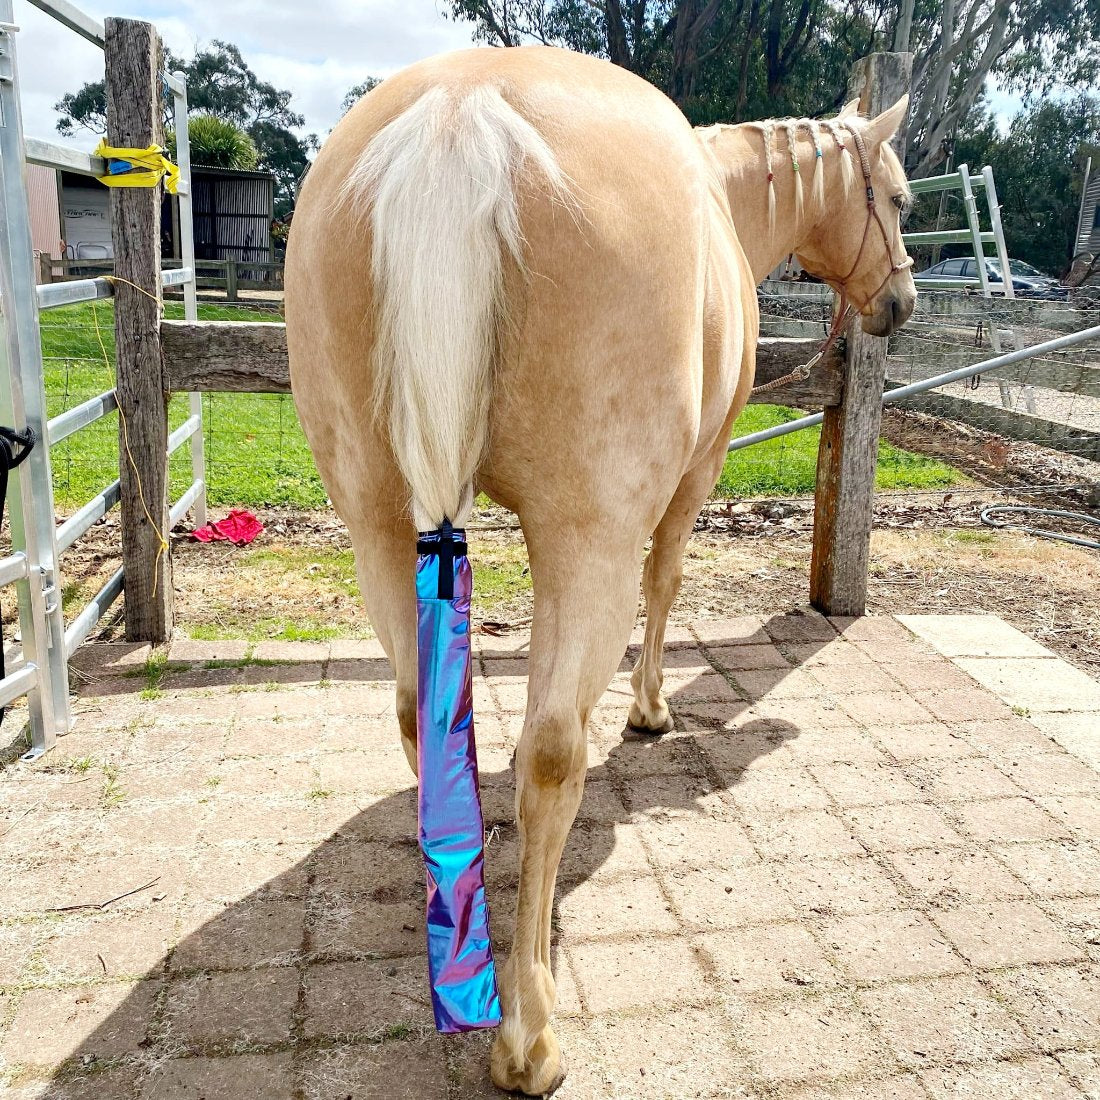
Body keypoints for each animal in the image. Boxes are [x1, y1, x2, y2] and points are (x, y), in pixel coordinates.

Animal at [288, 42, 915, 1091]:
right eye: (900, 199)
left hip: (376, 522)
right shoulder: (695, 474)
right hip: (586, 536)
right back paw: (529, 1027)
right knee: (551, 752)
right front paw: (651, 708)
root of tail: (462, 112)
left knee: (421, 718)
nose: (900, 303)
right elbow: (667, 584)